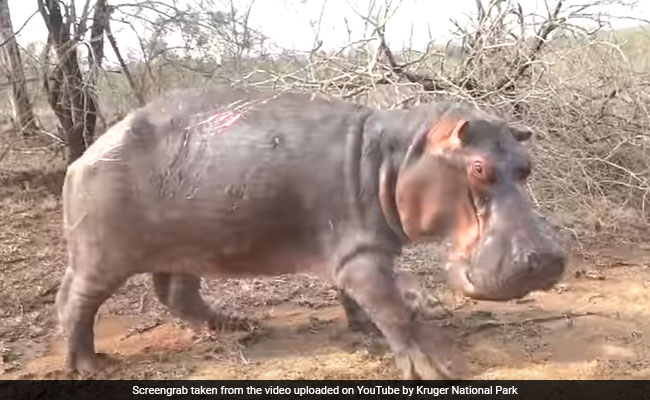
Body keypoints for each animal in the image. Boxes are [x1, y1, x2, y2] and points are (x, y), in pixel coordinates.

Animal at [57, 86, 560, 380]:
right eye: (478, 168)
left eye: (527, 164)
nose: (547, 260)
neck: (401, 156)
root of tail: (84, 155)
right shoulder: (360, 256)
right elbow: (392, 308)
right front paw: (436, 368)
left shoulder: (356, 251)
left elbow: (360, 299)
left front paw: (366, 331)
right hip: (101, 256)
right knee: (76, 302)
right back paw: (89, 366)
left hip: (187, 243)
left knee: (176, 292)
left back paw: (239, 327)